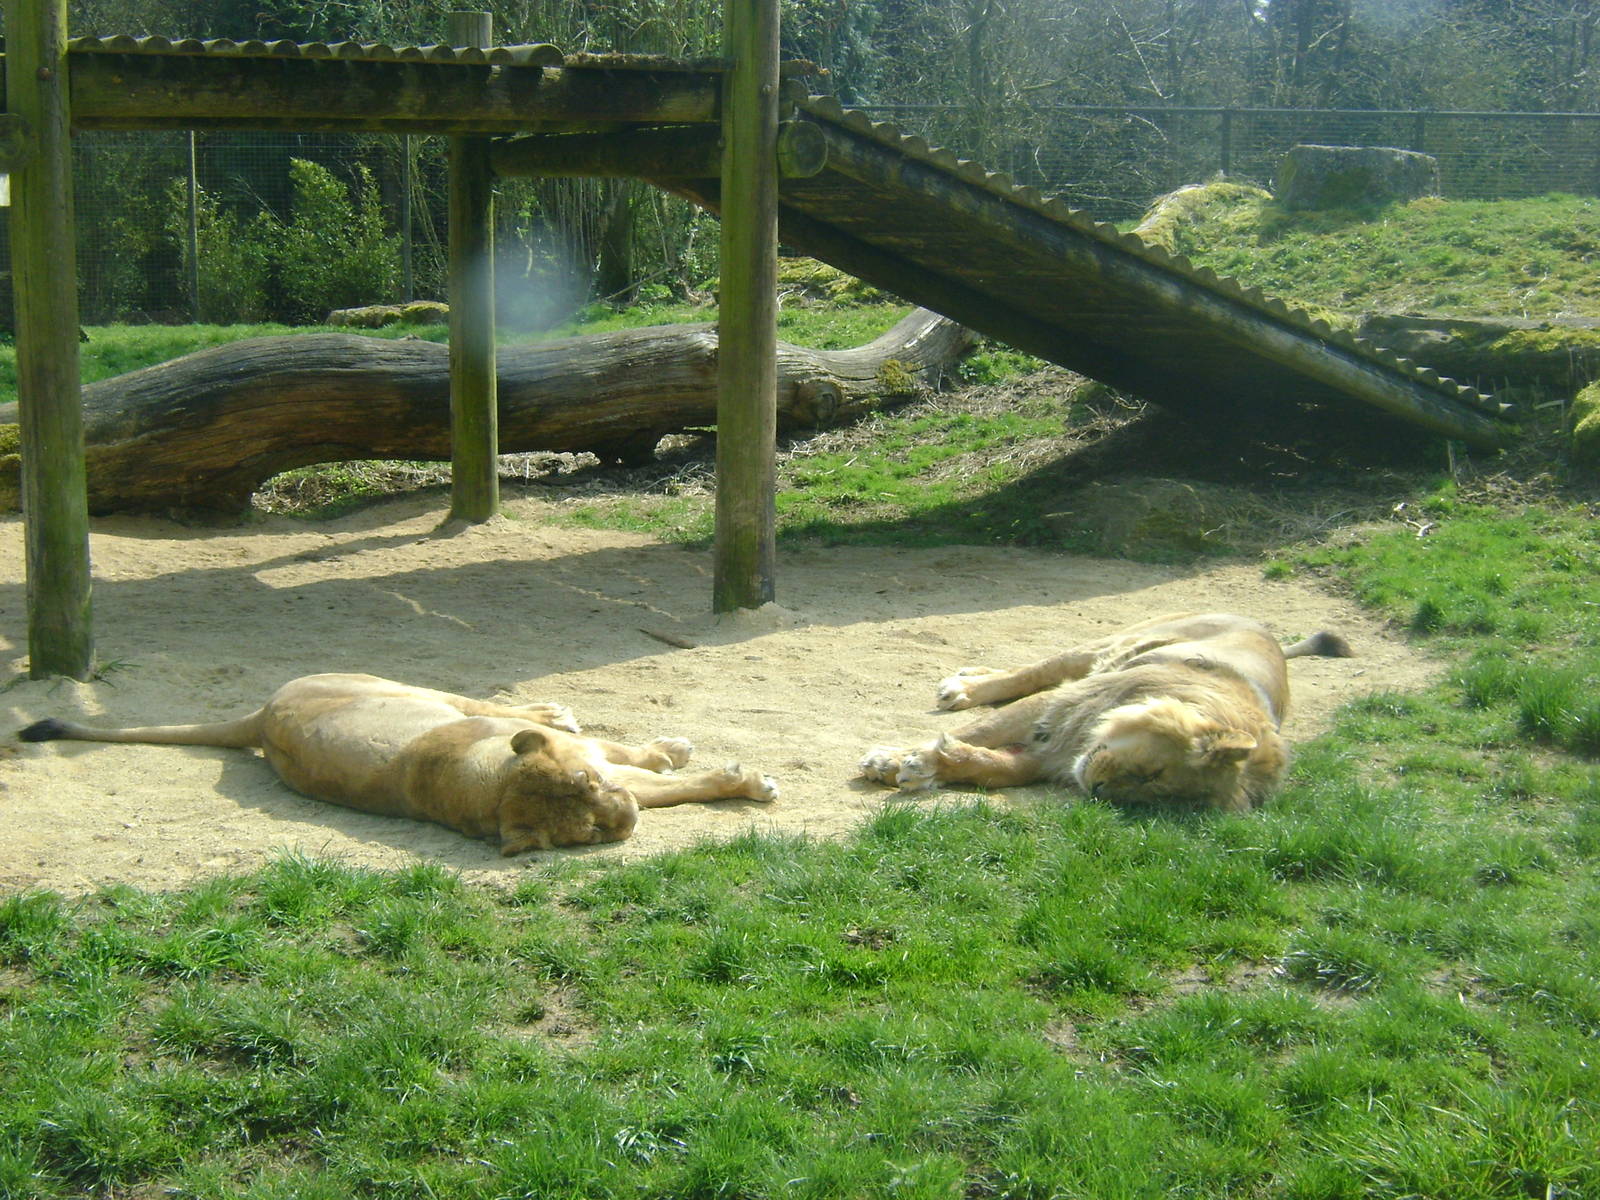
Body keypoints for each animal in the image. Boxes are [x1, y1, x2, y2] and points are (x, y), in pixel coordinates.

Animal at [859, 612, 1352, 812]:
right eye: (1154, 773)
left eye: (1151, 797)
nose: (1096, 790)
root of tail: (1270, 636)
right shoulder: (1061, 706)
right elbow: (984, 729)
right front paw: (890, 760)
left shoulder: (1050, 754)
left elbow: (993, 767)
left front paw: (927, 767)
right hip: (1109, 646)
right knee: (1037, 669)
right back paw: (963, 688)